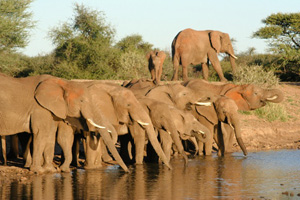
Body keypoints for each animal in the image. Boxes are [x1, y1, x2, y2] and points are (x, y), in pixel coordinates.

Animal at [0, 74, 128, 173]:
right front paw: (39, 171)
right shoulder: (40, 108)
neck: (64, 83)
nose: (126, 171)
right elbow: (42, 133)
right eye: (82, 101)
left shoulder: (50, 111)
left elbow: (51, 135)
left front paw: (50, 170)